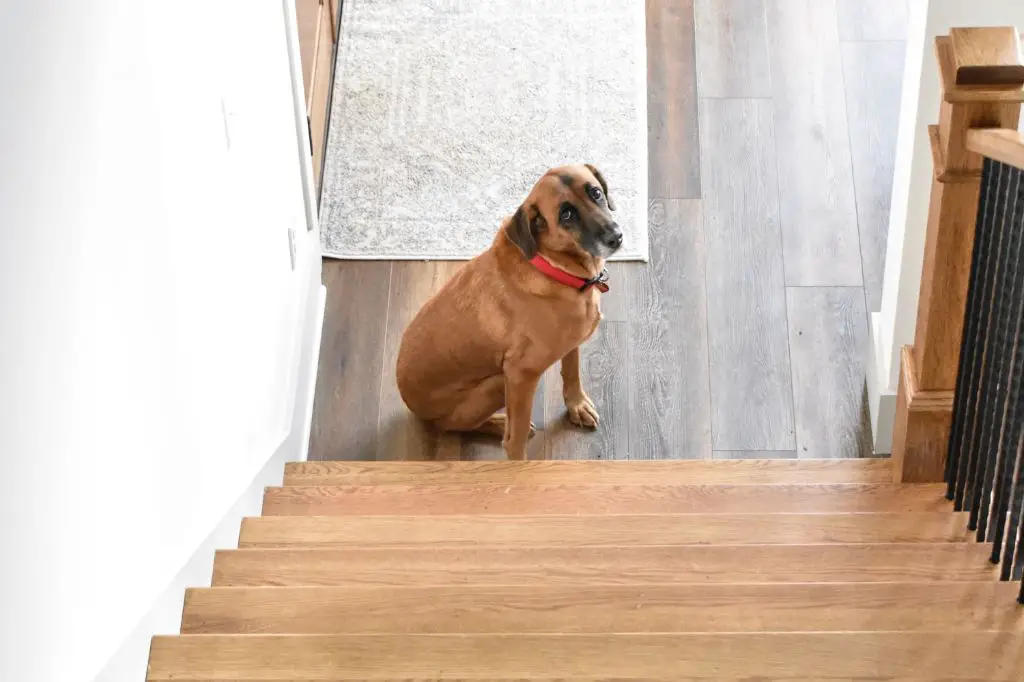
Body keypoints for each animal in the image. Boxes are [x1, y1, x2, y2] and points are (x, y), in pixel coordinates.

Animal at [393, 163, 618, 456]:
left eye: (595, 193)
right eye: (566, 214)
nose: (616, 237)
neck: (554, 266)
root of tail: (410, 403)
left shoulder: (570, 343)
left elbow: (571, 370)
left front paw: (577, 405)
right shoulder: (520, 374)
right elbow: (516, 438)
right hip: (495, 385)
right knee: (450, 425)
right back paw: (498, 423)